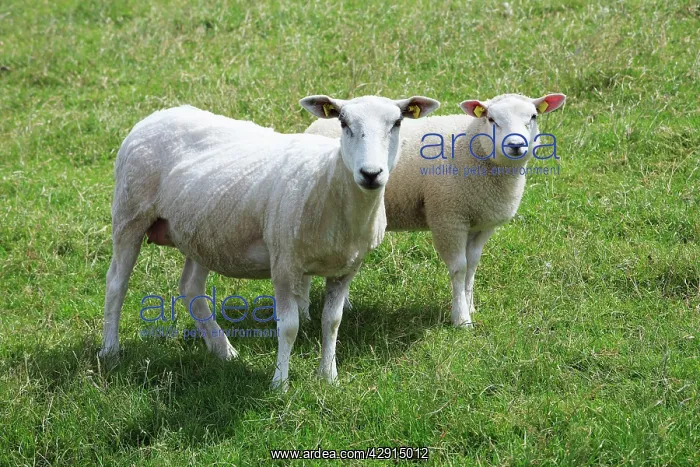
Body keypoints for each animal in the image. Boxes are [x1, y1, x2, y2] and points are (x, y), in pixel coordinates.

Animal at [99, 95, 440, 389]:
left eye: (397, 122)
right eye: (343, 122)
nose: (371, 174)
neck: (326, 180)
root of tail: (154, 116)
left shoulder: (346, 268)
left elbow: (332, 322)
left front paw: (328, 378)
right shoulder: (284, 263)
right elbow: (288, 326)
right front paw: (280, 384)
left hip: (200, 230)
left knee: (191, 288)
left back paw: (223, 349)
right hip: (130, 214)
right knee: (116, 282)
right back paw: (110, 350)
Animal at [306, 93, 566, 328]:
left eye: (533, 116)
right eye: (491, 119)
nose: (516, 145)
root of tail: (314, 125)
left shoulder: (482, 224)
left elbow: (472, 266)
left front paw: (470, 305)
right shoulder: (448, 217)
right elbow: (459, 268)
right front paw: (462, 319)